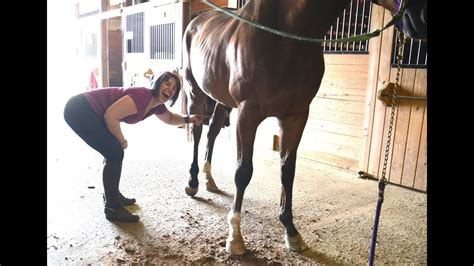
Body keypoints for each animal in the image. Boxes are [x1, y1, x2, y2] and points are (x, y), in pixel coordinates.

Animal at [181, 0, 426, 255]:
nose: (420, 17)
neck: (285, 35)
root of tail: (196, 21)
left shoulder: (296, 116)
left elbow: (287, 171)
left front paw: (291, 231)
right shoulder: (248, 114)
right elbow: (243, 171)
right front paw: (235, 237)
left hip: (222, 99)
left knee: (212, 132)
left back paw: (209, 180)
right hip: (195, 91)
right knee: (197, 132)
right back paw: (193, 182)